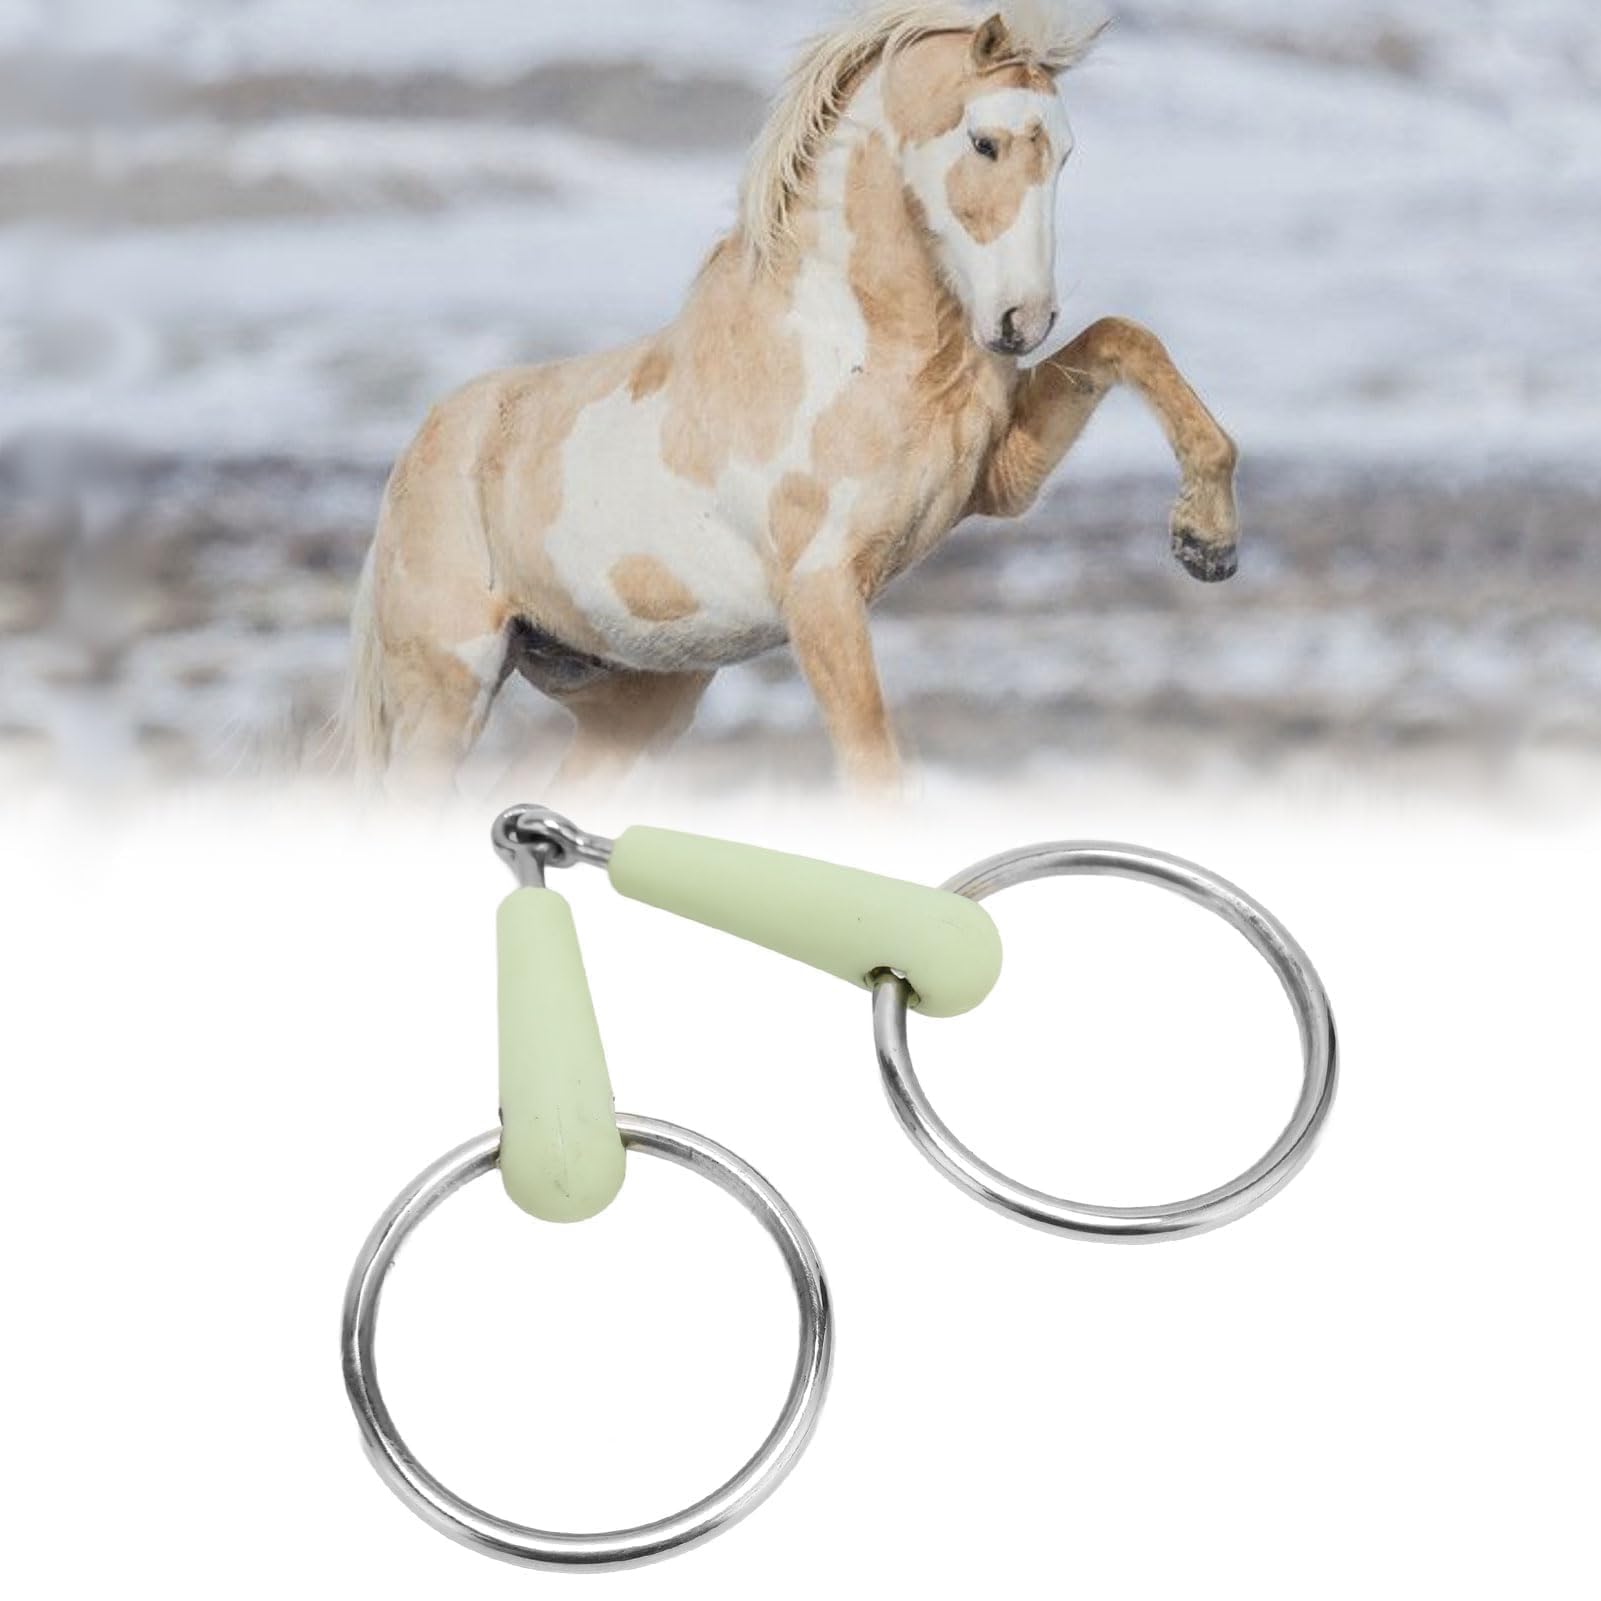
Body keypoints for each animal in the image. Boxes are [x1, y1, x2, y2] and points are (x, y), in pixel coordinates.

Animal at [344, 0, 1240, 793]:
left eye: (1062, 152)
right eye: (984, 141)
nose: (1020, 322)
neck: (856, 350)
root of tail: (418, 453)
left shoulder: (997, 485)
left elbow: (1122, 338)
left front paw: (1206, 543)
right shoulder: (822, 593)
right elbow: (875, 774)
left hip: (636, 702)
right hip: (448, 692)